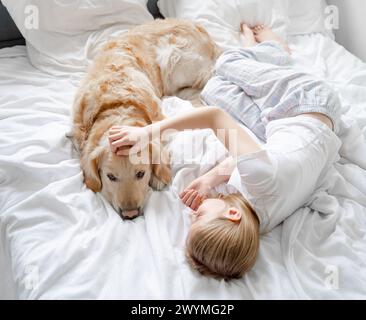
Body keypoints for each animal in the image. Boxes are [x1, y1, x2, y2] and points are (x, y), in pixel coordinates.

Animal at [71, 18, 220, 220]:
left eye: (141, 174)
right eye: (111, 177)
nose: (130, 214)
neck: (116, 104)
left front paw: (158, 177)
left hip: (172, 60)